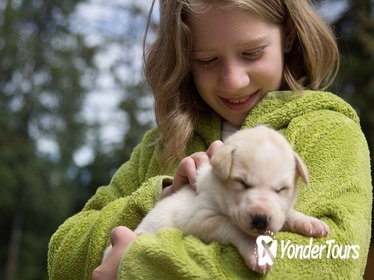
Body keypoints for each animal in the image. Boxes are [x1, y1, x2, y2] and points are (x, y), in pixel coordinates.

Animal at [105, 126, 328, 272]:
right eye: (241, 183)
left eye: (281, 189)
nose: (261, 220)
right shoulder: (198, 218)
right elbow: (233, 226)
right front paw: (257, 251)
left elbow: (287, 213)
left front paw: (310, 222)